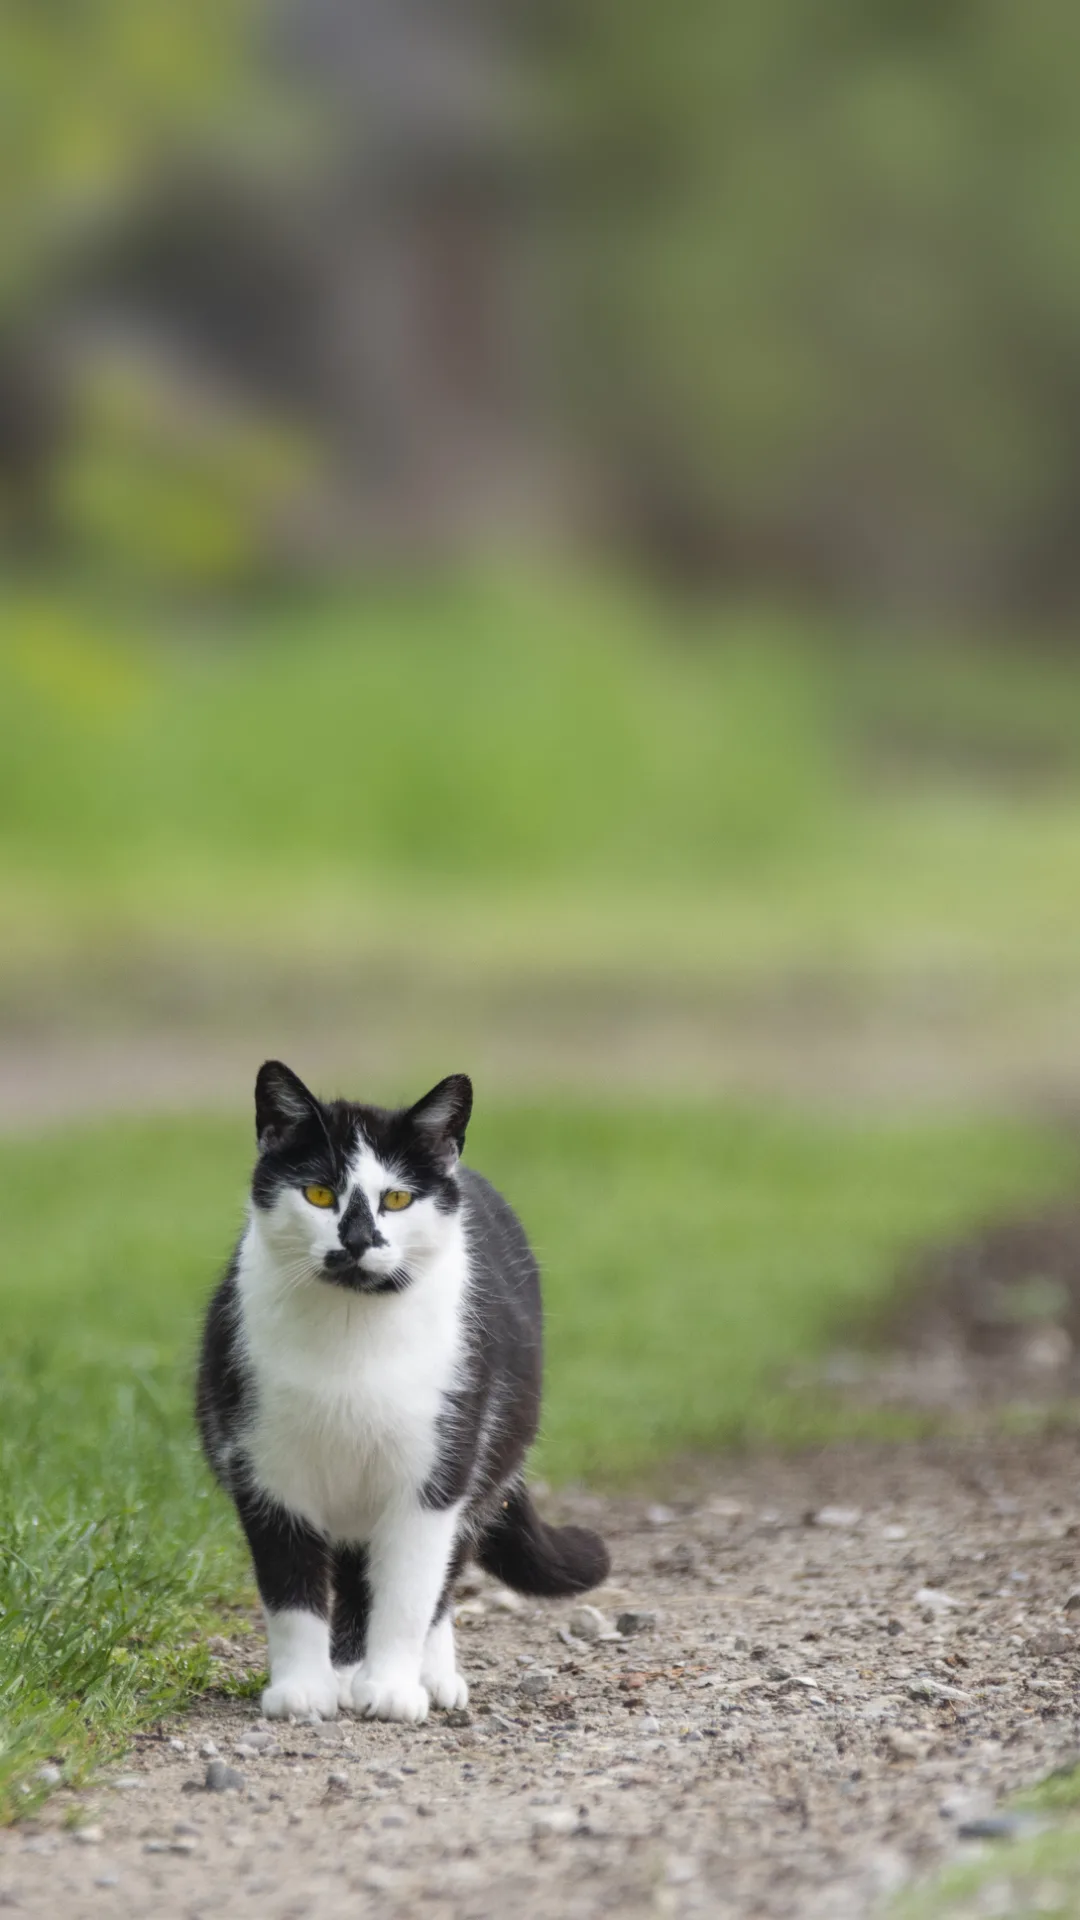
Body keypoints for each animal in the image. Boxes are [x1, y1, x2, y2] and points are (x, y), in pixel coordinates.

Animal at [194, 1067, 607, 1728]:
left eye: (396, 1199)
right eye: (318, 1194)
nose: (357, 1241)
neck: (352, 1335)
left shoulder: (437, 1468)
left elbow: (410, 1590)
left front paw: (391, 1687)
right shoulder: (264, 1468)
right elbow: (291, 1590)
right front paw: (303, 1689)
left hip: (490, 1451)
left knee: (441, 1575)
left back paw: (432, 1675)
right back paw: (343, 1673)